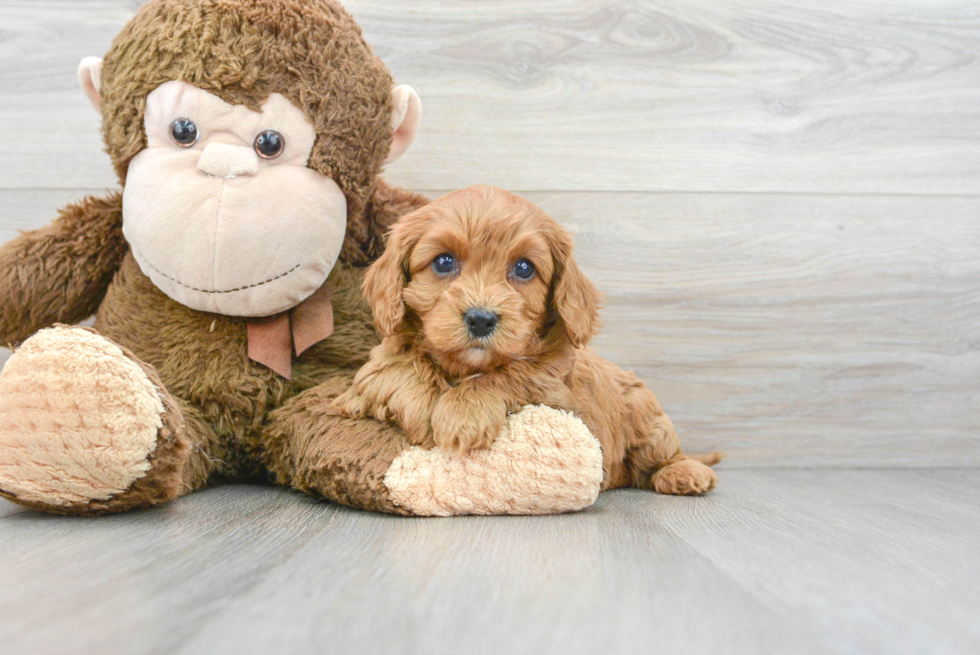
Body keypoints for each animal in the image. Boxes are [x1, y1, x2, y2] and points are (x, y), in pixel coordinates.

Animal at [334, 184, 724, 492]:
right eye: (443, 262)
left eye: (524, 268)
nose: (481, 319)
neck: (462, 370)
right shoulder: (378, 362)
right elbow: (396, 366)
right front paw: (421, 405)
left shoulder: (556, 393)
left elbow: (513, 374)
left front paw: (463, 413)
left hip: (647, 417)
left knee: (661, 456)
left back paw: (684, 473)